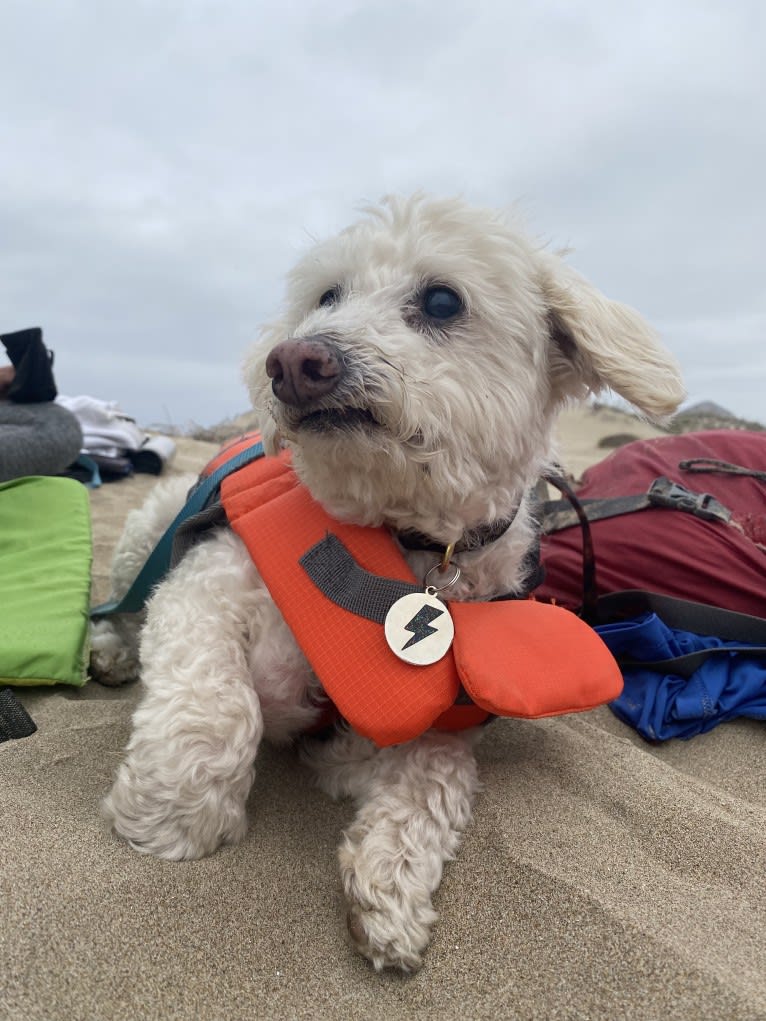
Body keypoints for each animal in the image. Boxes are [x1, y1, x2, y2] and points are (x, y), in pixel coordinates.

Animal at [92, 195, 686, 967]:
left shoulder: (414, 732)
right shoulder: (206, 585)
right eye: (326, 297)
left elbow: (435, 779)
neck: (411, 540)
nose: (294, 359)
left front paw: (391, 885)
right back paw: (109, 651)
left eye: (442, 300)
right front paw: (171, 818)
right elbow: (217, 702)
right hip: (151, 529)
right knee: (118, 608)